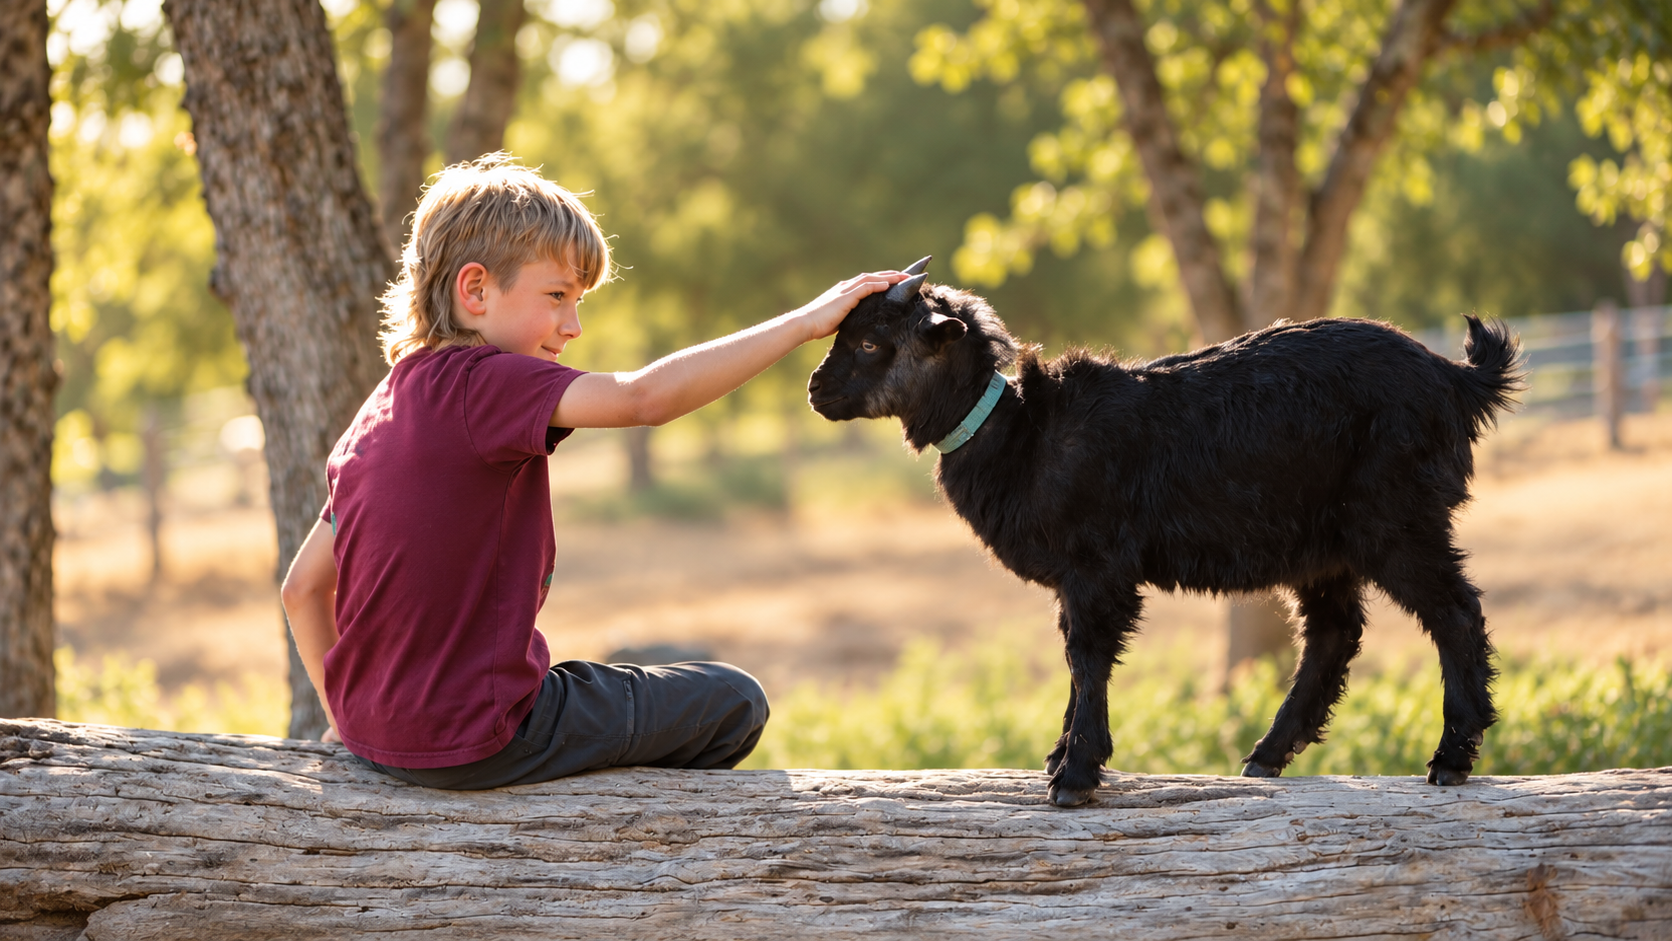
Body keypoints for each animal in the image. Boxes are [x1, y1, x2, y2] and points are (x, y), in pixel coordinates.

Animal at [808, 258, 1522, 807]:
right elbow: (1076, 657)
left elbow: (1088, 656)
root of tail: (1457, 379)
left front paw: (1075, 775)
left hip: (1396, 518)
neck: (1022, 433)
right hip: (1322, 546)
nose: (816, 389)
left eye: (871, 343)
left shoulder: (1096, 566)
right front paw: (1061, 754)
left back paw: (1451, 756)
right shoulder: (1076, 577)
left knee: (1455, 613)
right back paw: (1267, 754)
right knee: (1334, 634)